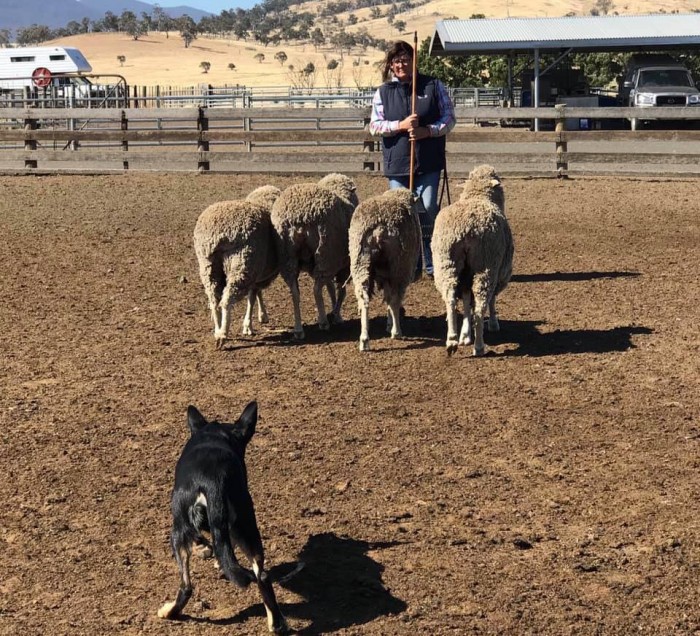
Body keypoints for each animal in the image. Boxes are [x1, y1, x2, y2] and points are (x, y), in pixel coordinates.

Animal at [159, 402, 290, 632]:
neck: (214, 436)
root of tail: (213, 480)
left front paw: (203, 548)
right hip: (246, 525)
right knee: (262, 575)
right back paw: (277, 624)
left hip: (177, 531)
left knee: (186, 586)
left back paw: (169, 612)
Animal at [194, 186, 282, 348]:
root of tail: (219, 234)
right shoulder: (255, 271)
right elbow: (252, 297)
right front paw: (250, 324)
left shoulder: (257, 271)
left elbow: (255, 294)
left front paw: (260, 316)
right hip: (241, 264)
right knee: (227, 300)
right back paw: (223, 334)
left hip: (208, 265)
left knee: (214, 300)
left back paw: (217, 330)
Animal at [270, 171, 358, 340]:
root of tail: (300, 217)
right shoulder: (344, 265)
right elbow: (341, 291)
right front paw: (336, 314)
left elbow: (331, 288)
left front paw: (335, 312)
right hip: (325, 253)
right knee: (316, 290)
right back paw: (323, 322)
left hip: (288, 258)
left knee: (295, 293)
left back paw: (298, 329)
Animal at [348, 186, 422, 350]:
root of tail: (379, 228)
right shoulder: (393, 273)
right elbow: (391, 300)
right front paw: (391, 326)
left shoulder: (383, 274)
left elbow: (387, 298)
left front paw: (388, 323)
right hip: (399, 265)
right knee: (396, 299)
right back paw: (397, 332)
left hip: (360, 261)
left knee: (364, 299)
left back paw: (364, 340)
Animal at [432, 164, 516, 356]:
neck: (478, 196)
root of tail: (465, 230)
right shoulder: (498, 272)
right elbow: (490, 301)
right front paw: (493, 324)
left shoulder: (465, 277)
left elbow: (466, 303)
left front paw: (465, 335)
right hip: (486, 266)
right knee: (481, 304)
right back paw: (479, 346)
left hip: (445, 263)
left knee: (450, 298)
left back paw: (452, 340)